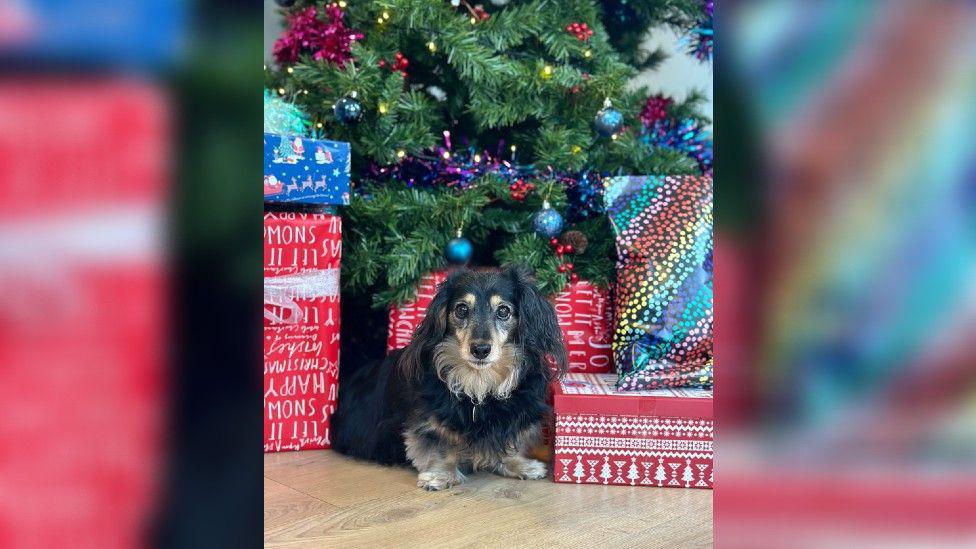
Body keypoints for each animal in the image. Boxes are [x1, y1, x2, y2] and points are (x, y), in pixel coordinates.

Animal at [332, 266, 568, 488]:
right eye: (462, 309)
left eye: (503, 311)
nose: (480, 350)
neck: (478, 383)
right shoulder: (429, 421)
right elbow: (441, 446)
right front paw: (440, 475)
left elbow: (510, 442)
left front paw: (521, 464)